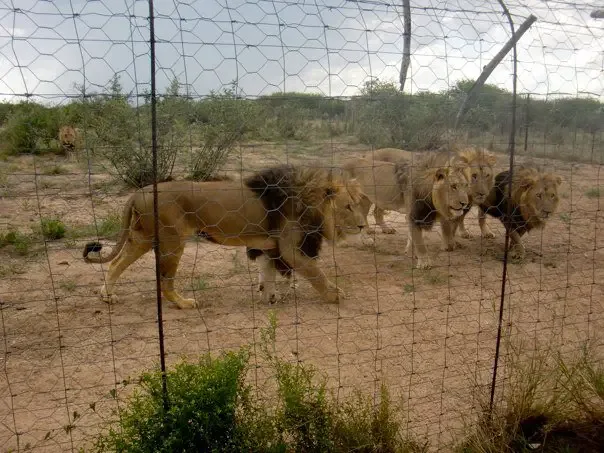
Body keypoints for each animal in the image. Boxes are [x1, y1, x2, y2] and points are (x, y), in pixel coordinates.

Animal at [82, 164, 366, 308]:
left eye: (357, 204)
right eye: (348, 207)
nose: (364, 226)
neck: (310, 199)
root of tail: (137, 192)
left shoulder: (270, 245)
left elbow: (269, 274)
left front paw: (269, 296)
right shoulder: (290, 248)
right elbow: (314, 272)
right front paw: (334, 294)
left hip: (142, 237)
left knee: (117, 264)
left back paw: (107, 296)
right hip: (172, 241)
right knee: (164, 282)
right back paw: (184, 303)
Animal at [342, 148, 470, 268]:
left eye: (465, 185)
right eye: (453, 186)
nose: (465, 203)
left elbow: (412, 236)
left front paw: (411, 253)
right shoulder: (413, 214)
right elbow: (419, 240)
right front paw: (424, 263)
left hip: (368, 199)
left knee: (369, 215)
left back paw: (379, 232)